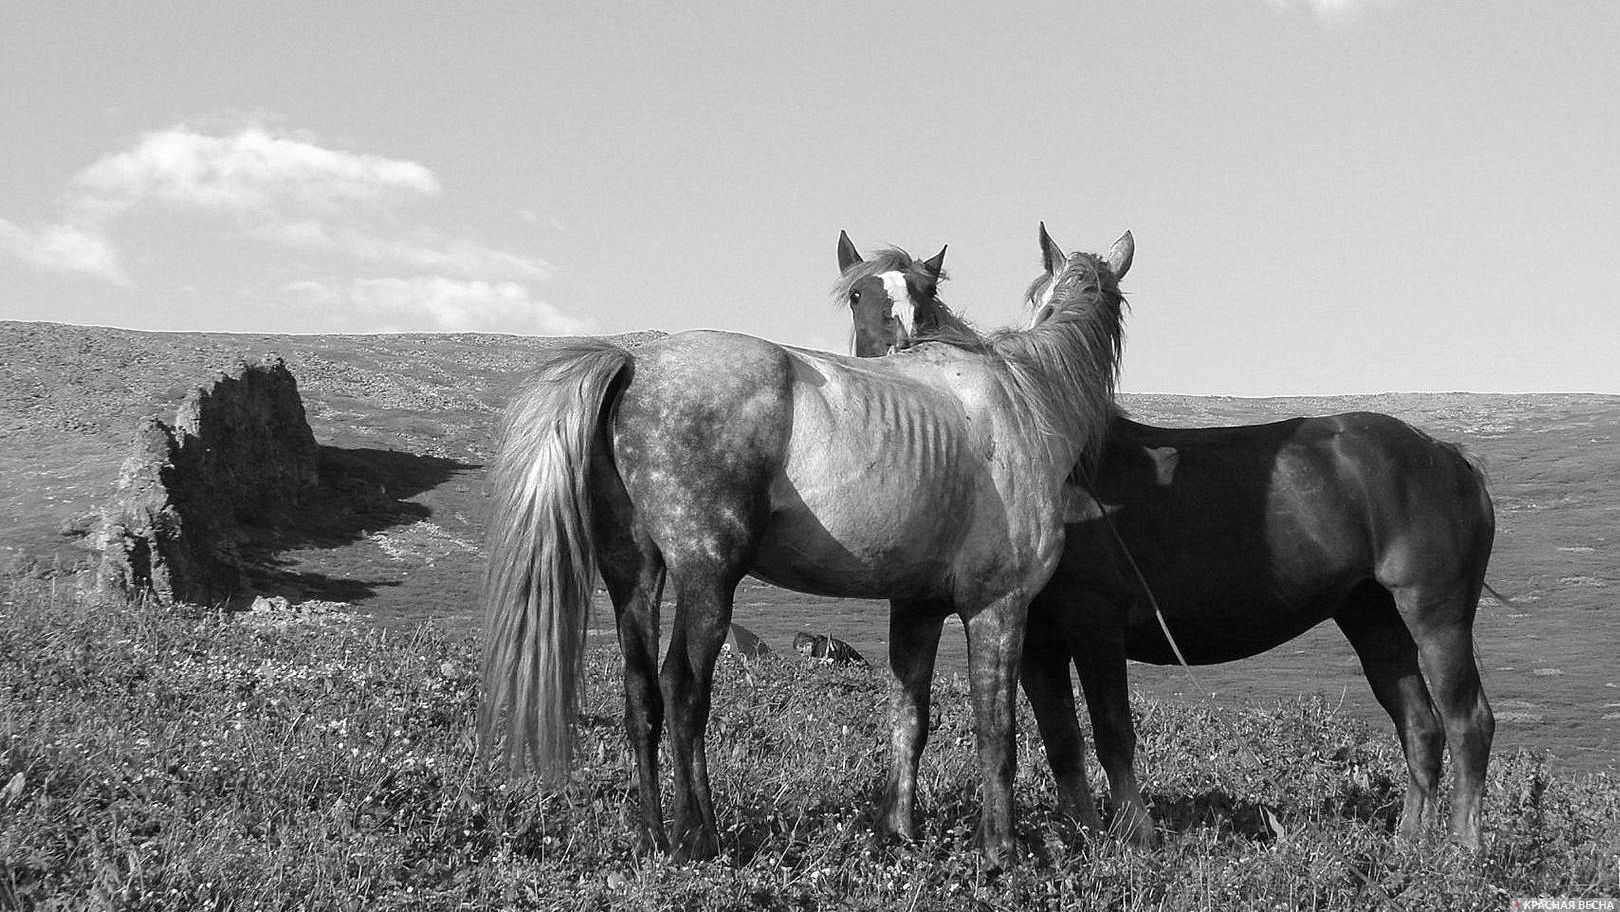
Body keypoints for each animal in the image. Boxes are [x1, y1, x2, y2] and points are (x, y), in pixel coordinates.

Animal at [479, 238, 1127, 868]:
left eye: (924, 290)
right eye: (859, 294)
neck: (1024, 399)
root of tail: (634, 365)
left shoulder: (916, 608)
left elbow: (909, 720)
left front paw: (899, 833)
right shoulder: (998, 605)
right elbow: (998, 733)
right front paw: (1000, 853)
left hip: (634, 576)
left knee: (642, 693)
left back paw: (653, 836)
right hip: (707, 579)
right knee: (682, 689)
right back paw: (698, 836)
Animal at [842, 226, 1496, 848]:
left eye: (923, 294)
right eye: (857, 295)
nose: (891, 359)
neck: (1054, 453)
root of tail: (1447, 455)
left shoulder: (1095, 626)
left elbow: (1112, 732)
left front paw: (1135, 833)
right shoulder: (1037, 640)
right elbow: (1061, 740)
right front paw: (1084, 835)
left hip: (1435, 613)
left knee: (1468, 721)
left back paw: (1462, 848)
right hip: (1369, 614)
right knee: (1419, 724)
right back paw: (1408, 845)